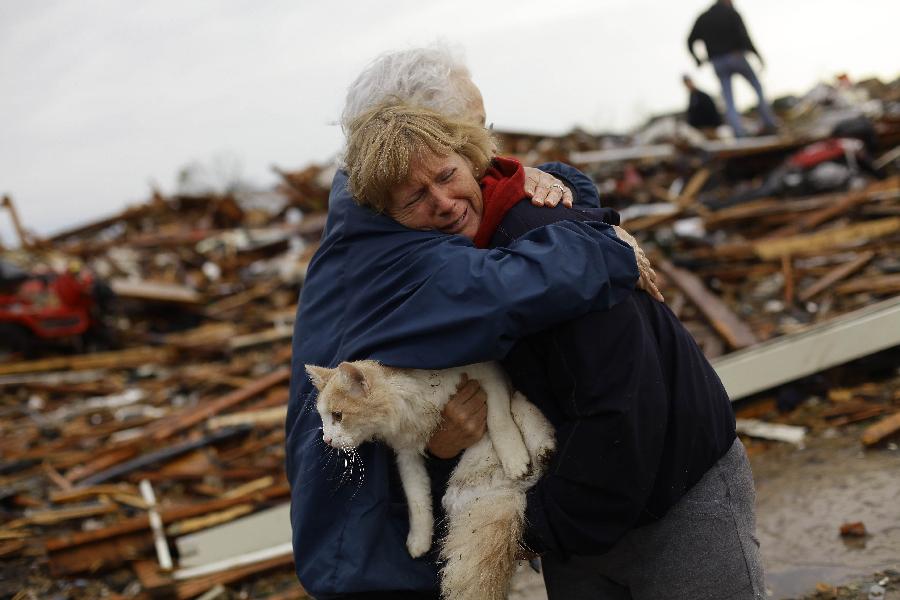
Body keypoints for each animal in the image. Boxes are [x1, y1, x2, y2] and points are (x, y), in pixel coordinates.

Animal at [306, 358, 552, 596]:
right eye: (324, 419)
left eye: (338, 416)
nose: (326, 439)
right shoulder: (406, 455)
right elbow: (416, 500)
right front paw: (419, 539)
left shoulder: (489, 373)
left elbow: (498, 418)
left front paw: (513, 457)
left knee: (522, 410)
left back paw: (540, 447)